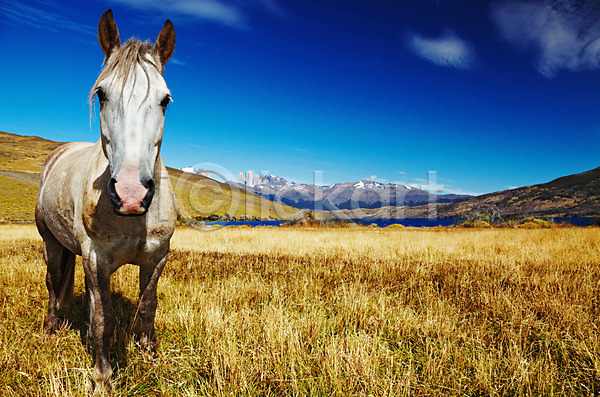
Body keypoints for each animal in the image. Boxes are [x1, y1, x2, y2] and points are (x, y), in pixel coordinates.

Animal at [35, 8, 177, 390]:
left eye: (165, 100)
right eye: (101, 94)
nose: (131, 193)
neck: (132, 220)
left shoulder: (157, 257)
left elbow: (147, 307)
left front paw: (151, 358)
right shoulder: (95, 260)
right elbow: (103, 318)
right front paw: (103, 377)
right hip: (51, 242)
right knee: (53, 282)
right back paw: (51, 330)